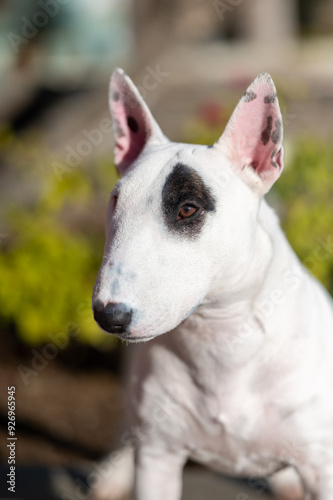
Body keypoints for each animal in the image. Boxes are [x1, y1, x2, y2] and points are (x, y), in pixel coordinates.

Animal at [91, 69, 333, 500]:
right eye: (115, 201)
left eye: (188, 208)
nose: (108, 314)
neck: (221, 337)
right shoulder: (158, 457)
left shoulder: (322, 467)